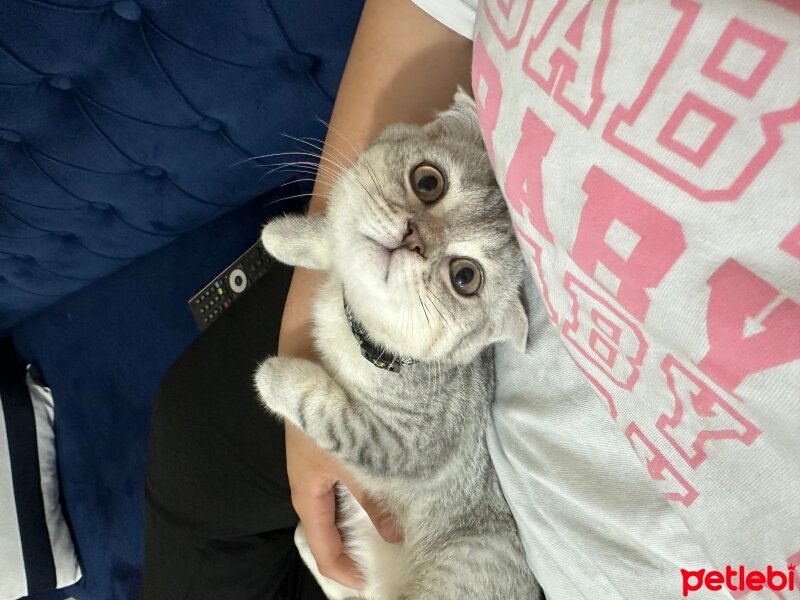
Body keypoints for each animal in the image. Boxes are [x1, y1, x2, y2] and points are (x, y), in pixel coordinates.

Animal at [255, 90, 544, 600]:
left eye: (465, 277)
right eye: (428, 181)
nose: (413, 238)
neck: (358, 330)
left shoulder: (403, 444)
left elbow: (328, 412)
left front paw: (276, 378)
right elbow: (337, 239)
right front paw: (290, 235)